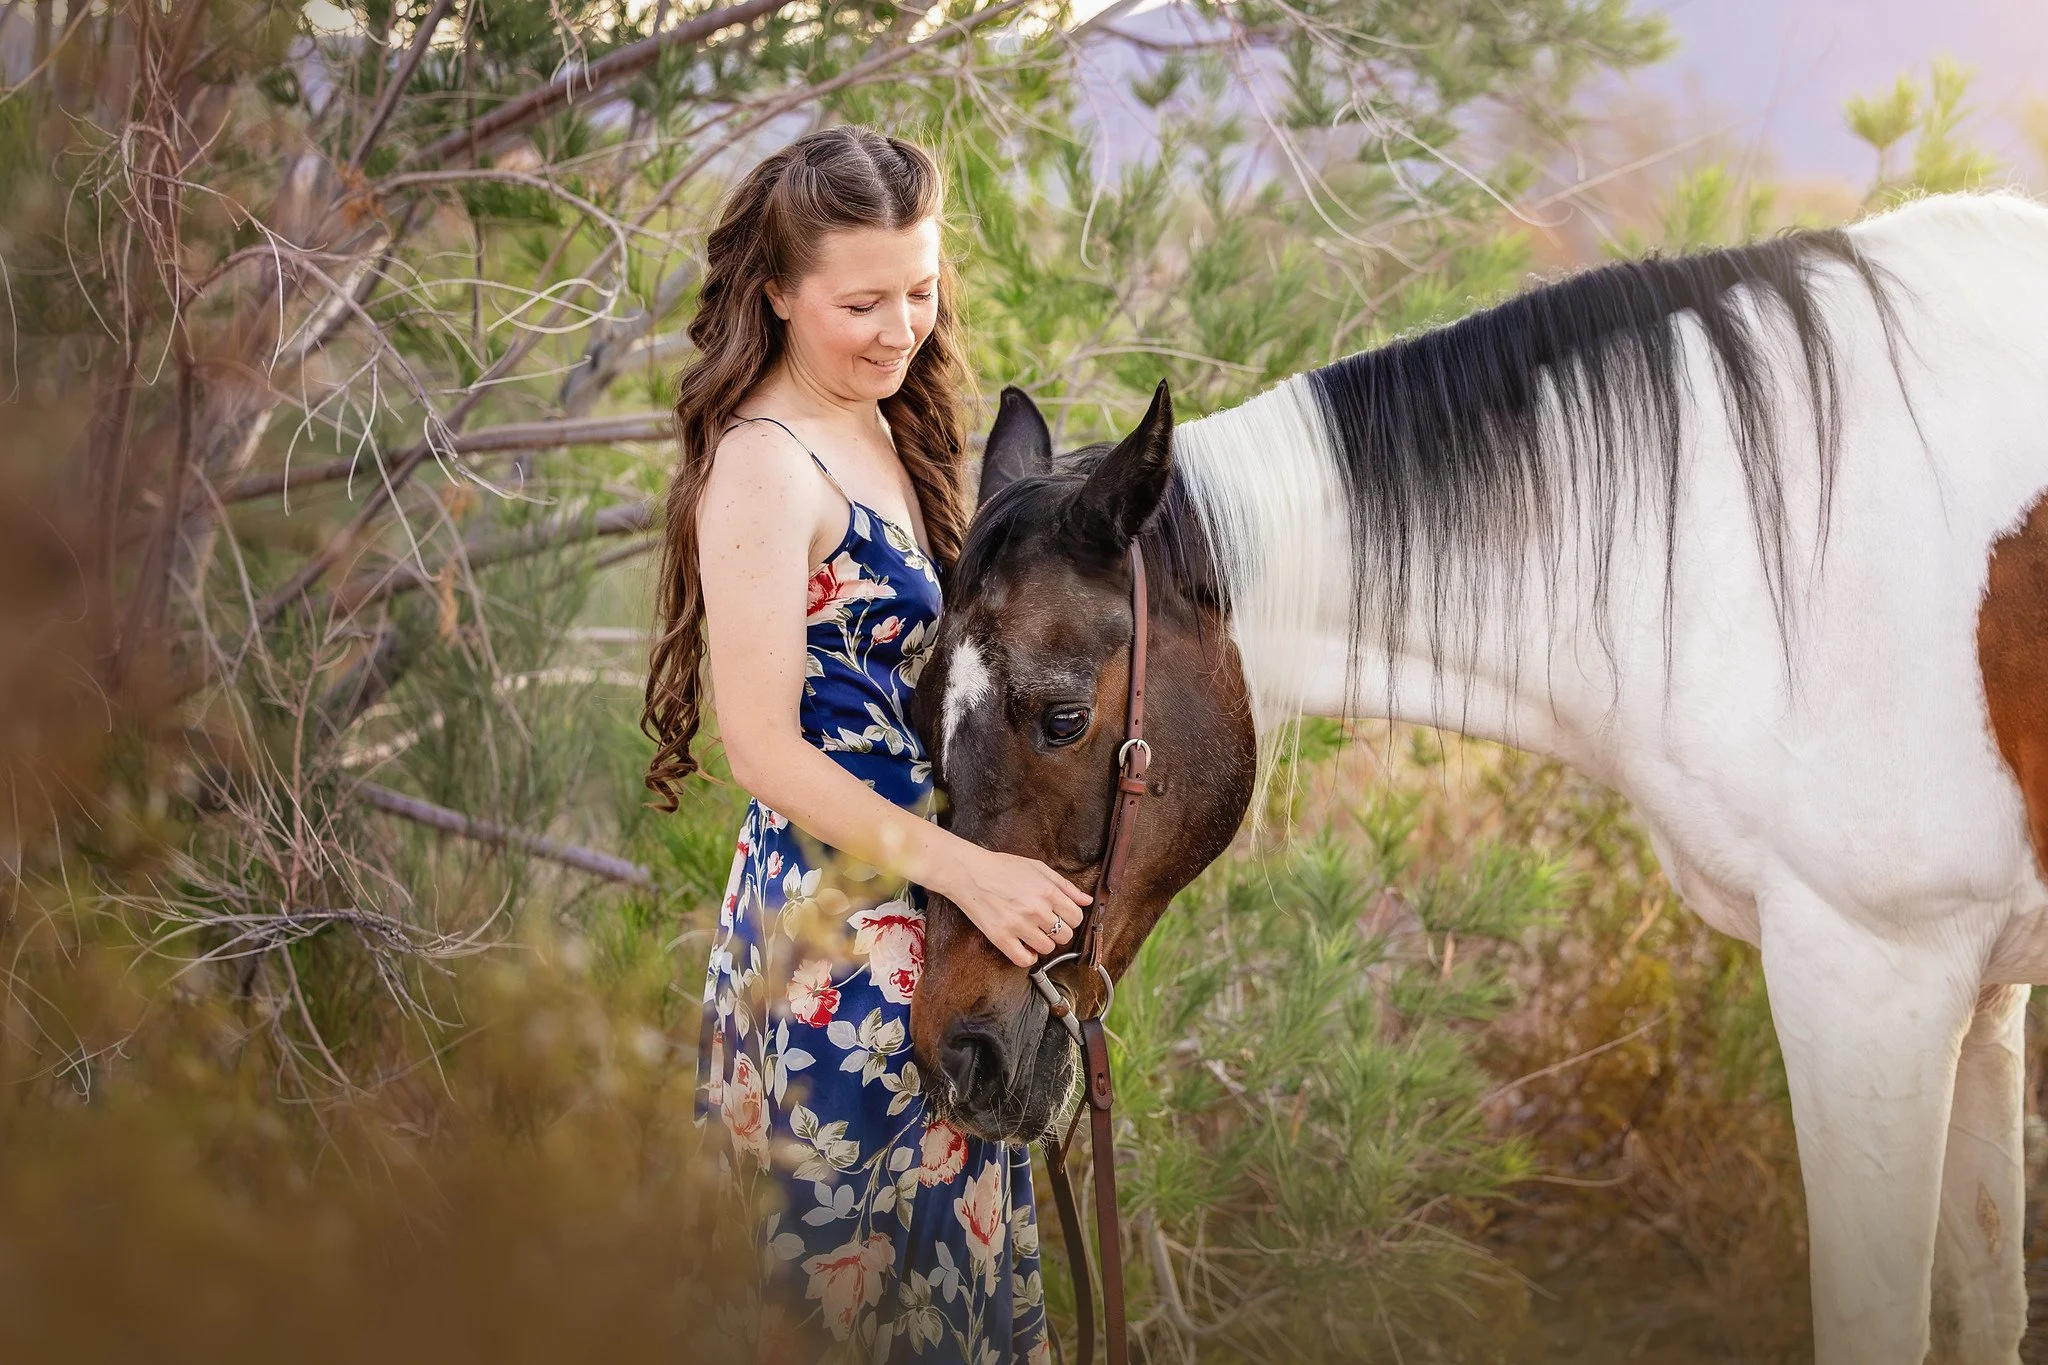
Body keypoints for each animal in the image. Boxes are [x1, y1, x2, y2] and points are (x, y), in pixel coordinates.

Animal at [903, 191, 2048, 1363]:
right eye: (916, 708)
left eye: (1063, 718)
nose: (956, 1054)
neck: (1767, 562)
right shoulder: (1981, 989)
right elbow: (1985, 1298)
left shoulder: (1869, 976)